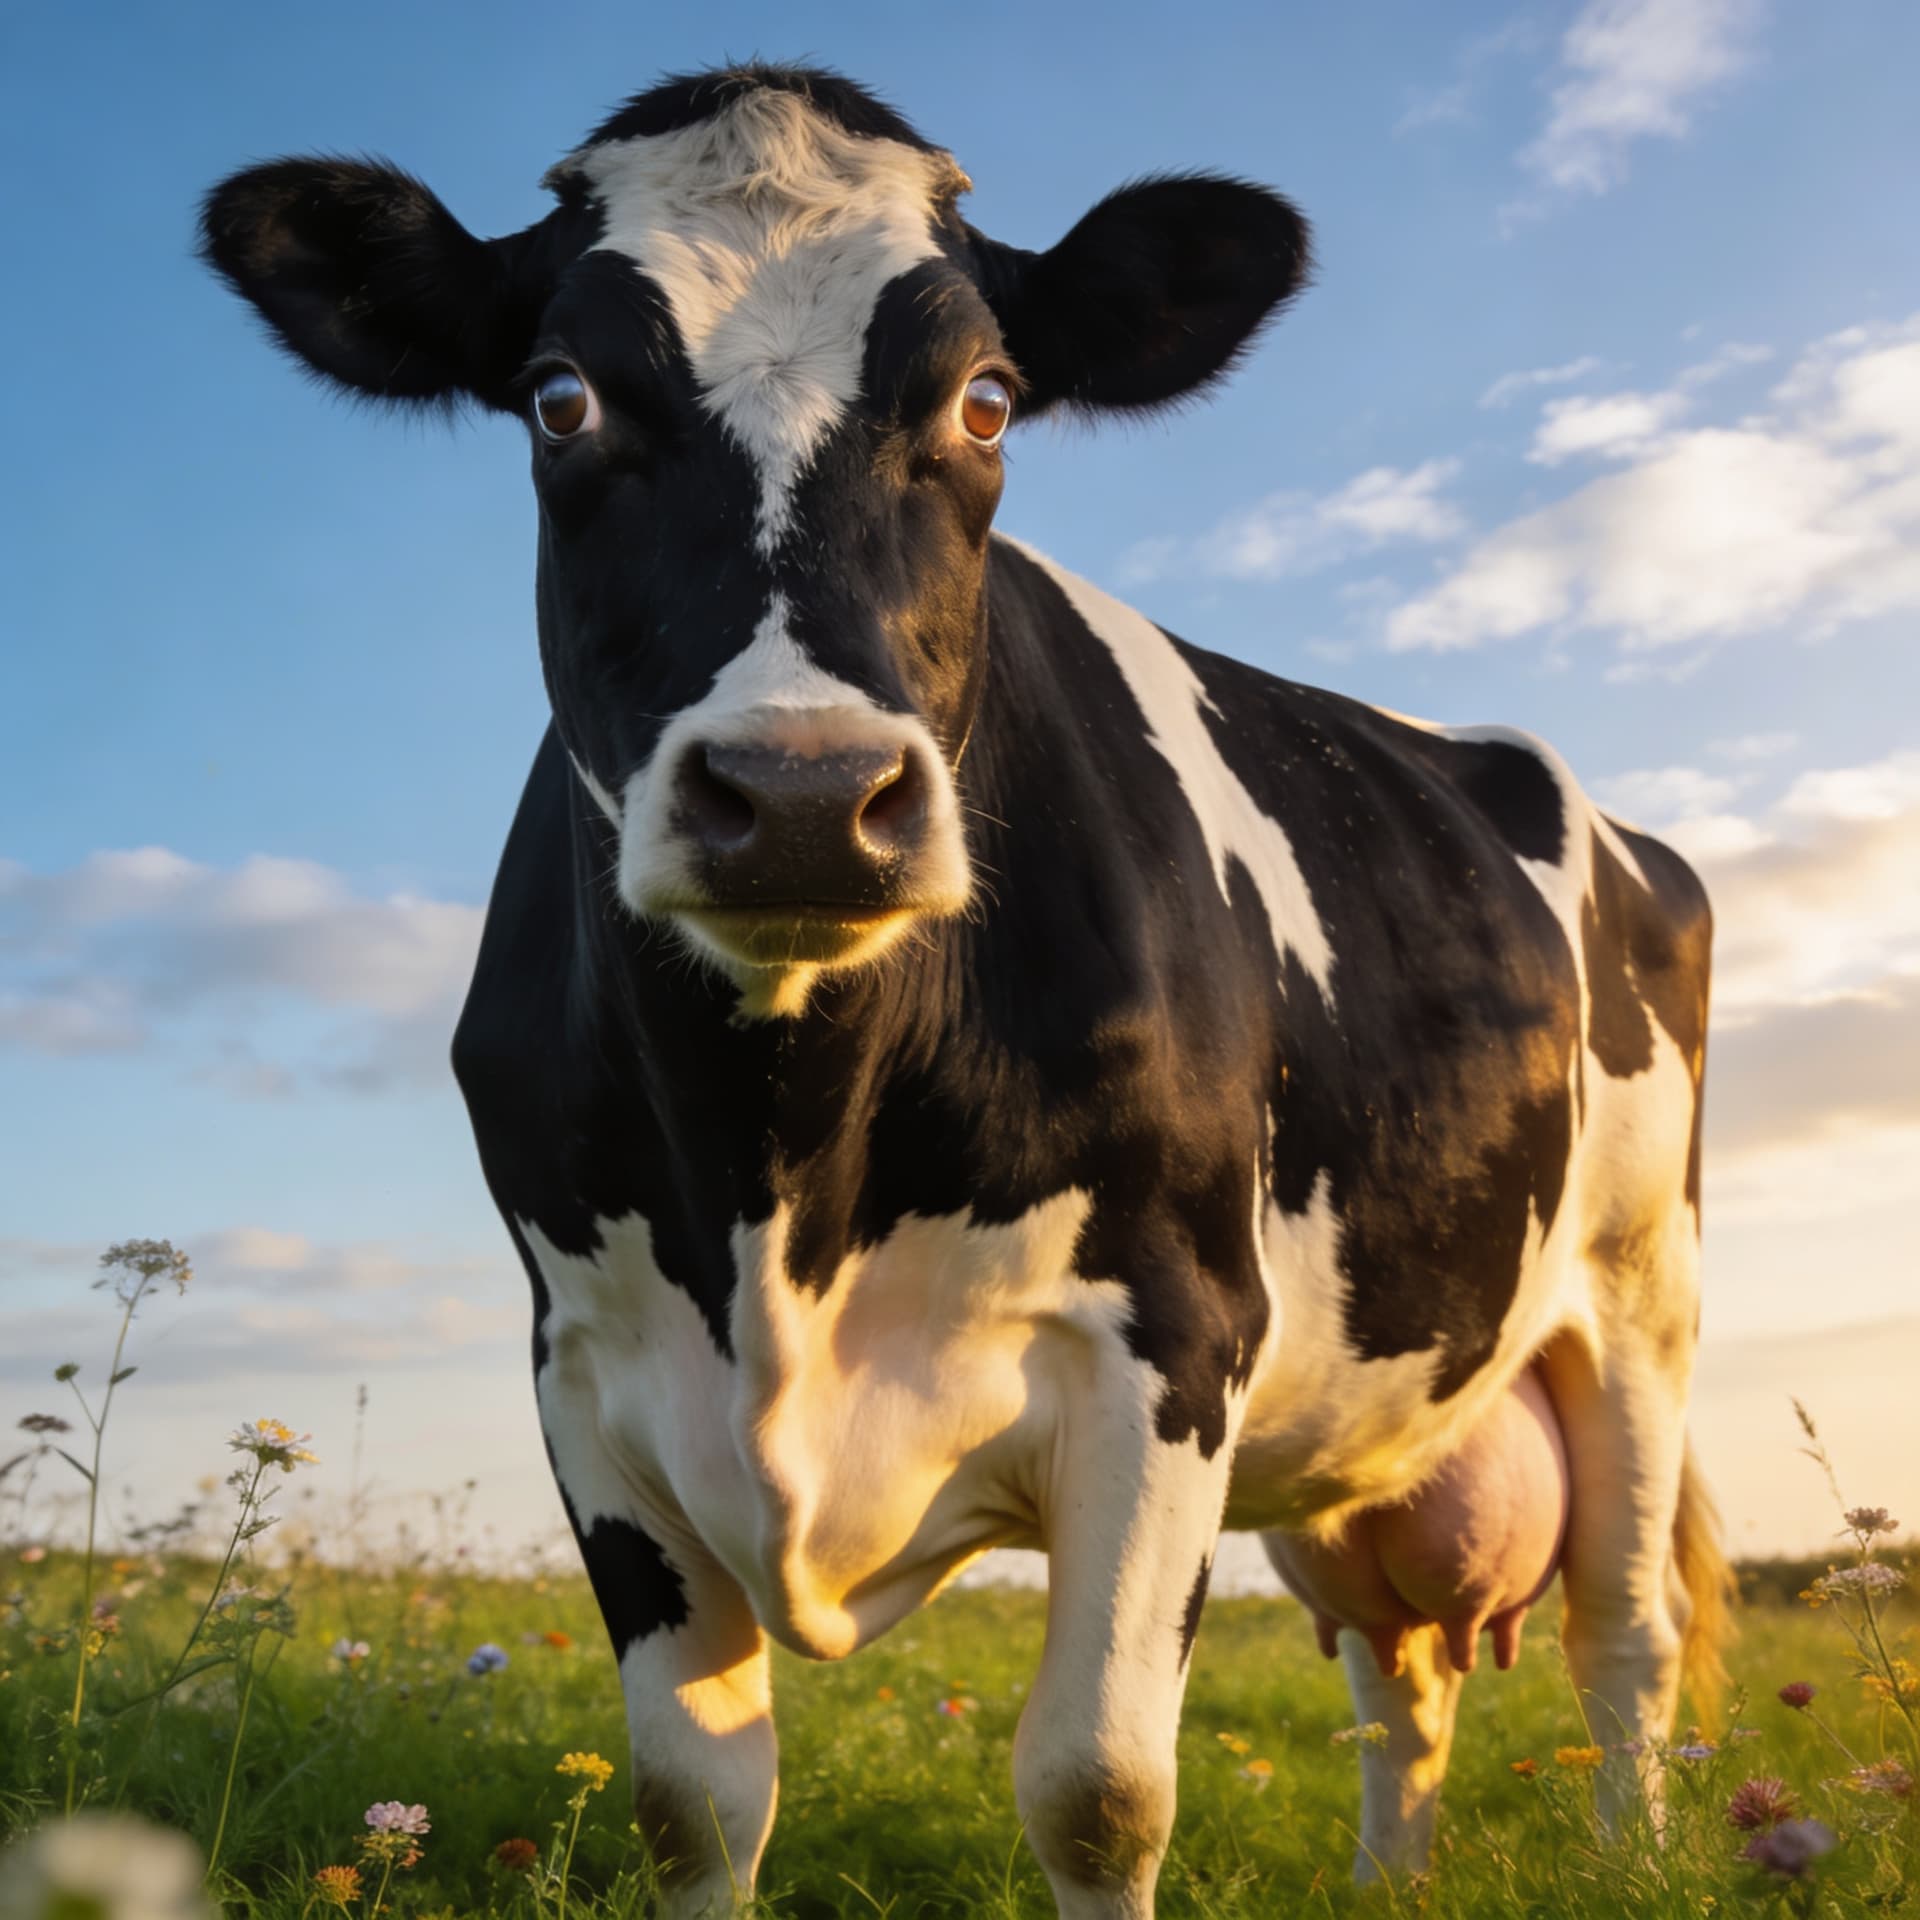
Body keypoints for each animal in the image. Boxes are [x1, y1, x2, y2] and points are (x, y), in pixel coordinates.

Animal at [201, 64, 1728, 1916]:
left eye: (988, 400)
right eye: (560, 400)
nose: (800, 795)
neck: (781, 1174)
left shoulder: (1171, 1339)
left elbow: (1098, 1791)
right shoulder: (587, 1380)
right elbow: (692, 1800)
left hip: (1639, 1298)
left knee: (1625, 1630)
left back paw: (1638, 1858)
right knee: (1398, 1667)